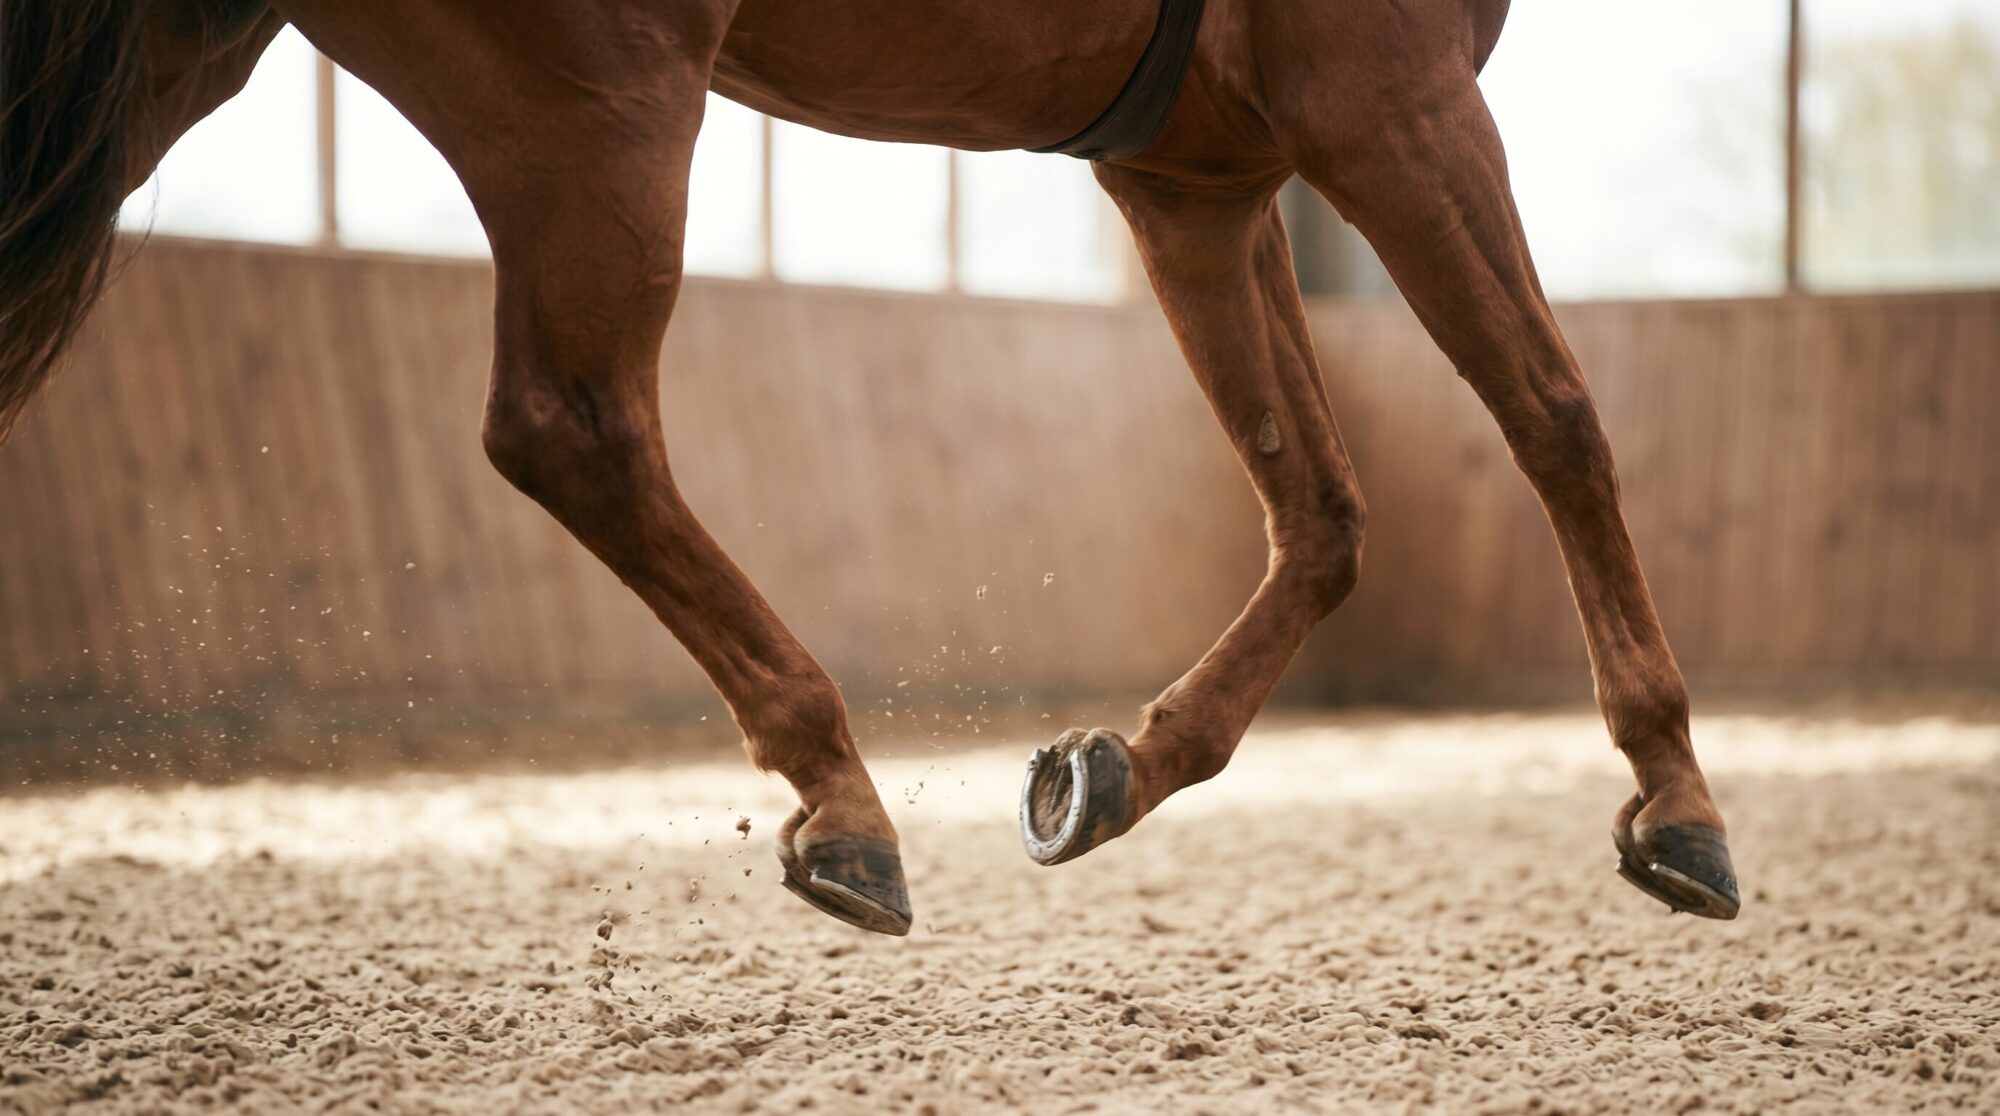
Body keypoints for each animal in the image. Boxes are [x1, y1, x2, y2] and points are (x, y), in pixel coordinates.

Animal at [0, 0, 1740, 935]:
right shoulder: (1391, 104)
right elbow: (1556, 419)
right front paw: (1678, 799)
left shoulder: (1199, 176)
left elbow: (1321, 511)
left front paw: (1113, 772)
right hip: (599, 106)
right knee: (571, 425)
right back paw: (840, 800)